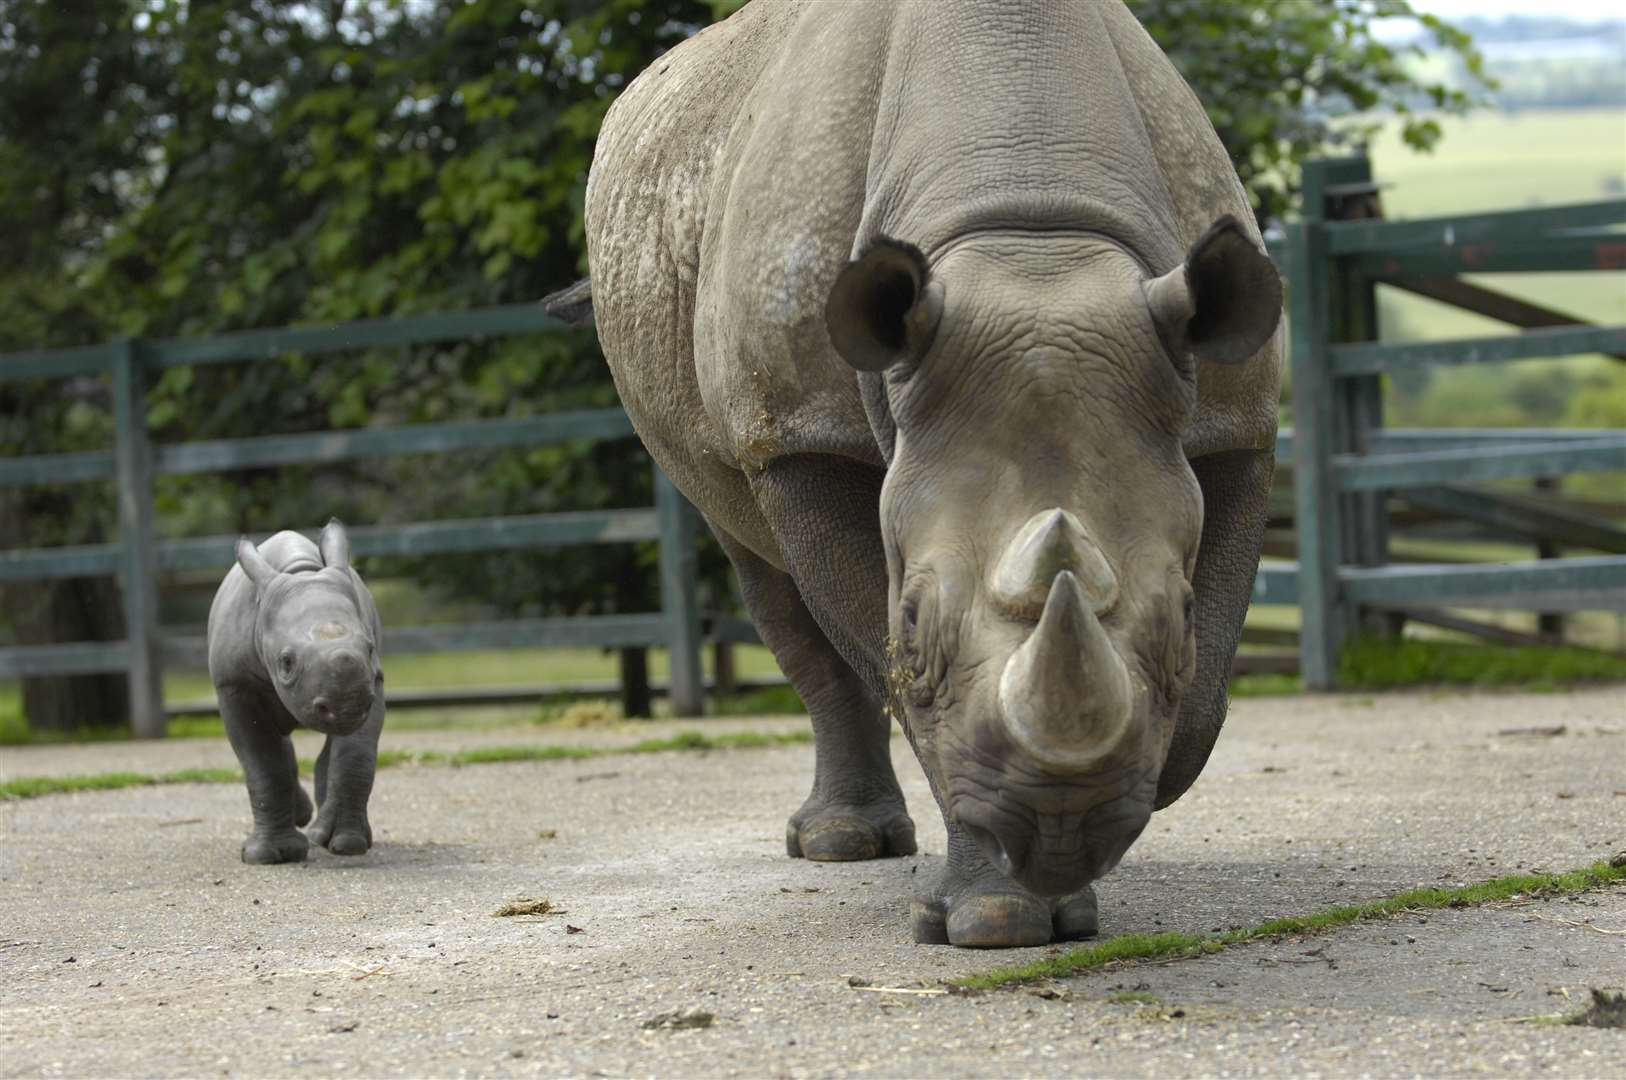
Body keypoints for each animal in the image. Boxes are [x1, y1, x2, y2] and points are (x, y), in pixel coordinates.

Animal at [209, 520, 383, 865]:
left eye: (369, 649)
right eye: (286, 662)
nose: (346, 705)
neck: (301, 572)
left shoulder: (374, 681)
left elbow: (355, 755)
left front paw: (349, 845)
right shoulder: (234, 684)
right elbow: (264, 765)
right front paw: (269, 856)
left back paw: (320, 833)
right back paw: (302, 819)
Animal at [578, 0, 1274, 943]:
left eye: (1184, 613)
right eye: (913, 621)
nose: (1061, 822)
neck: (1031, 236)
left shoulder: (1234, 420)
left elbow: (1202, 687)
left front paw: (1143, 794)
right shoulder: (803, 433)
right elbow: (900, 679)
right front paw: (997, 917)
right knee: (758, 563)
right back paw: (842, 845)